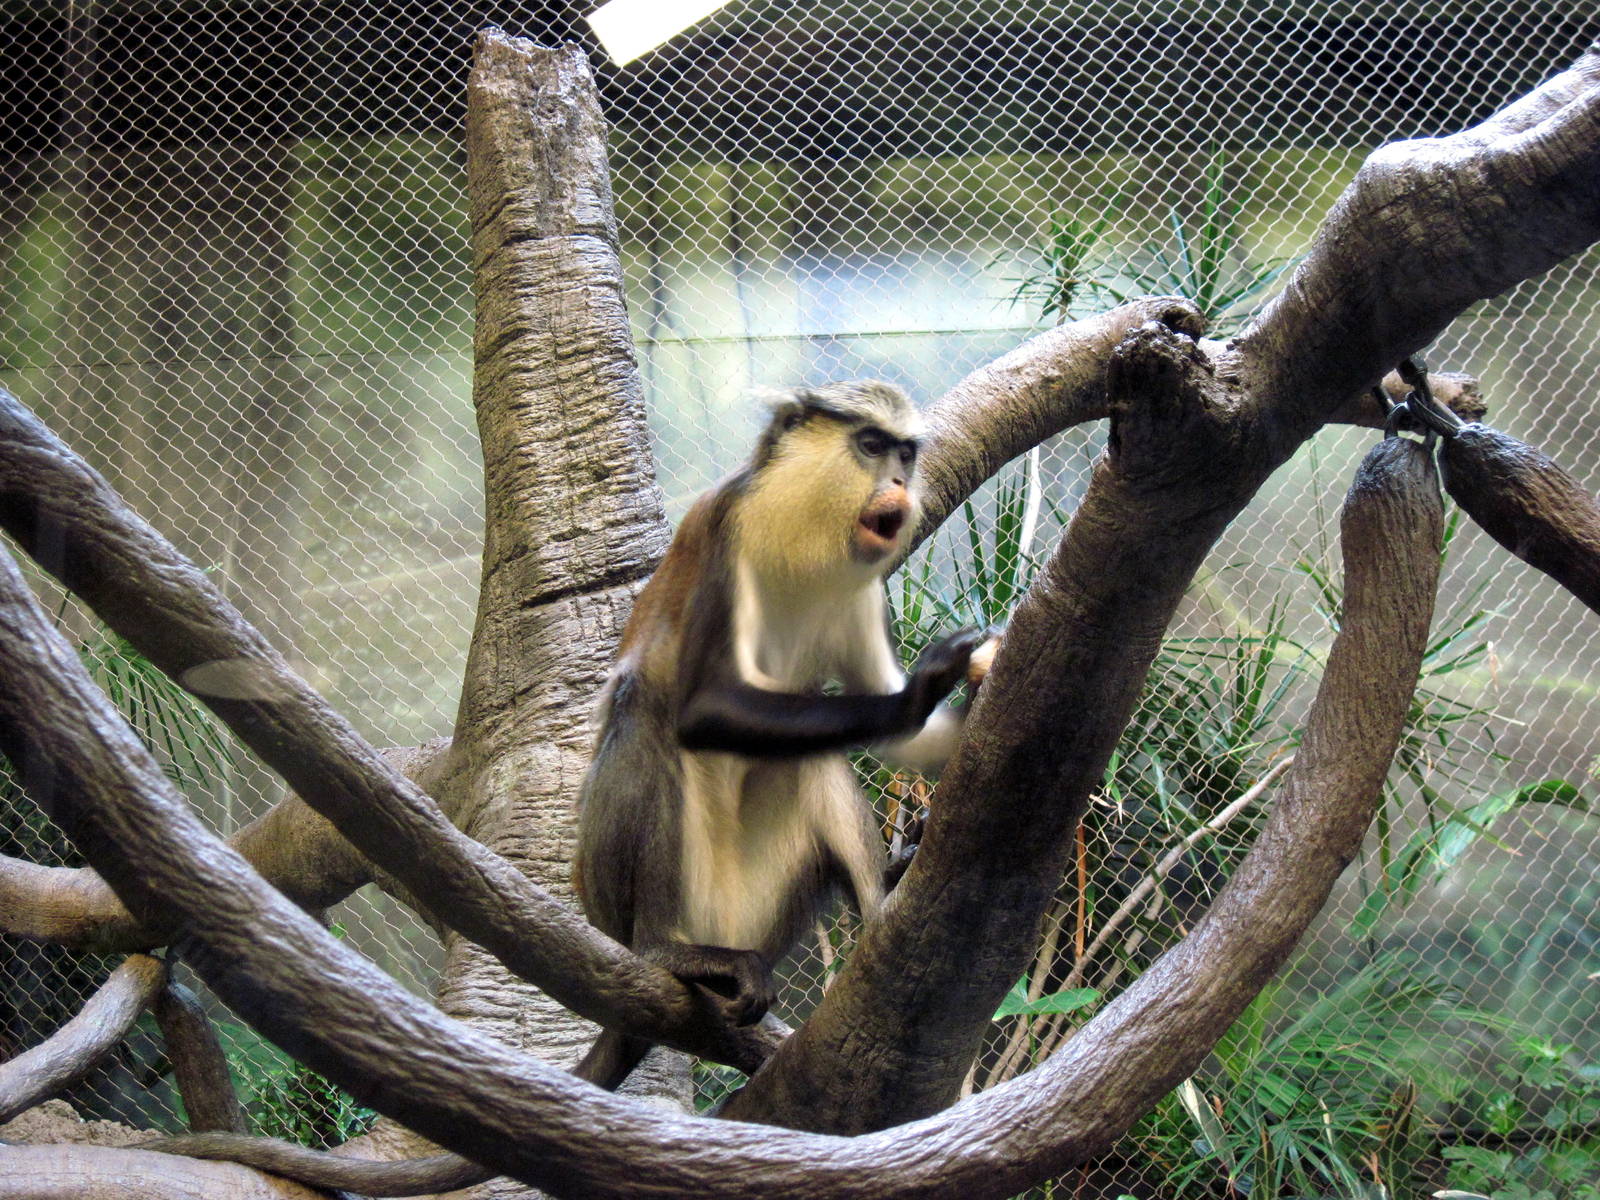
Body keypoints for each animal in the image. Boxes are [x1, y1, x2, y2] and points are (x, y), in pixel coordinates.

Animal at [571, 379, 997, 1089]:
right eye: (871, 445)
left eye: (906, 453)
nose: (899, 482)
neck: (802, 534)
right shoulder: (727, 535)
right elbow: (702, 709)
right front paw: (921, 688)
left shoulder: (859, 589)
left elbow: (904, 746)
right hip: (660, 905)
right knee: (644, 719)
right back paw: (668, 954)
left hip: (756, 912)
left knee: (813, 762)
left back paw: (884, 905)